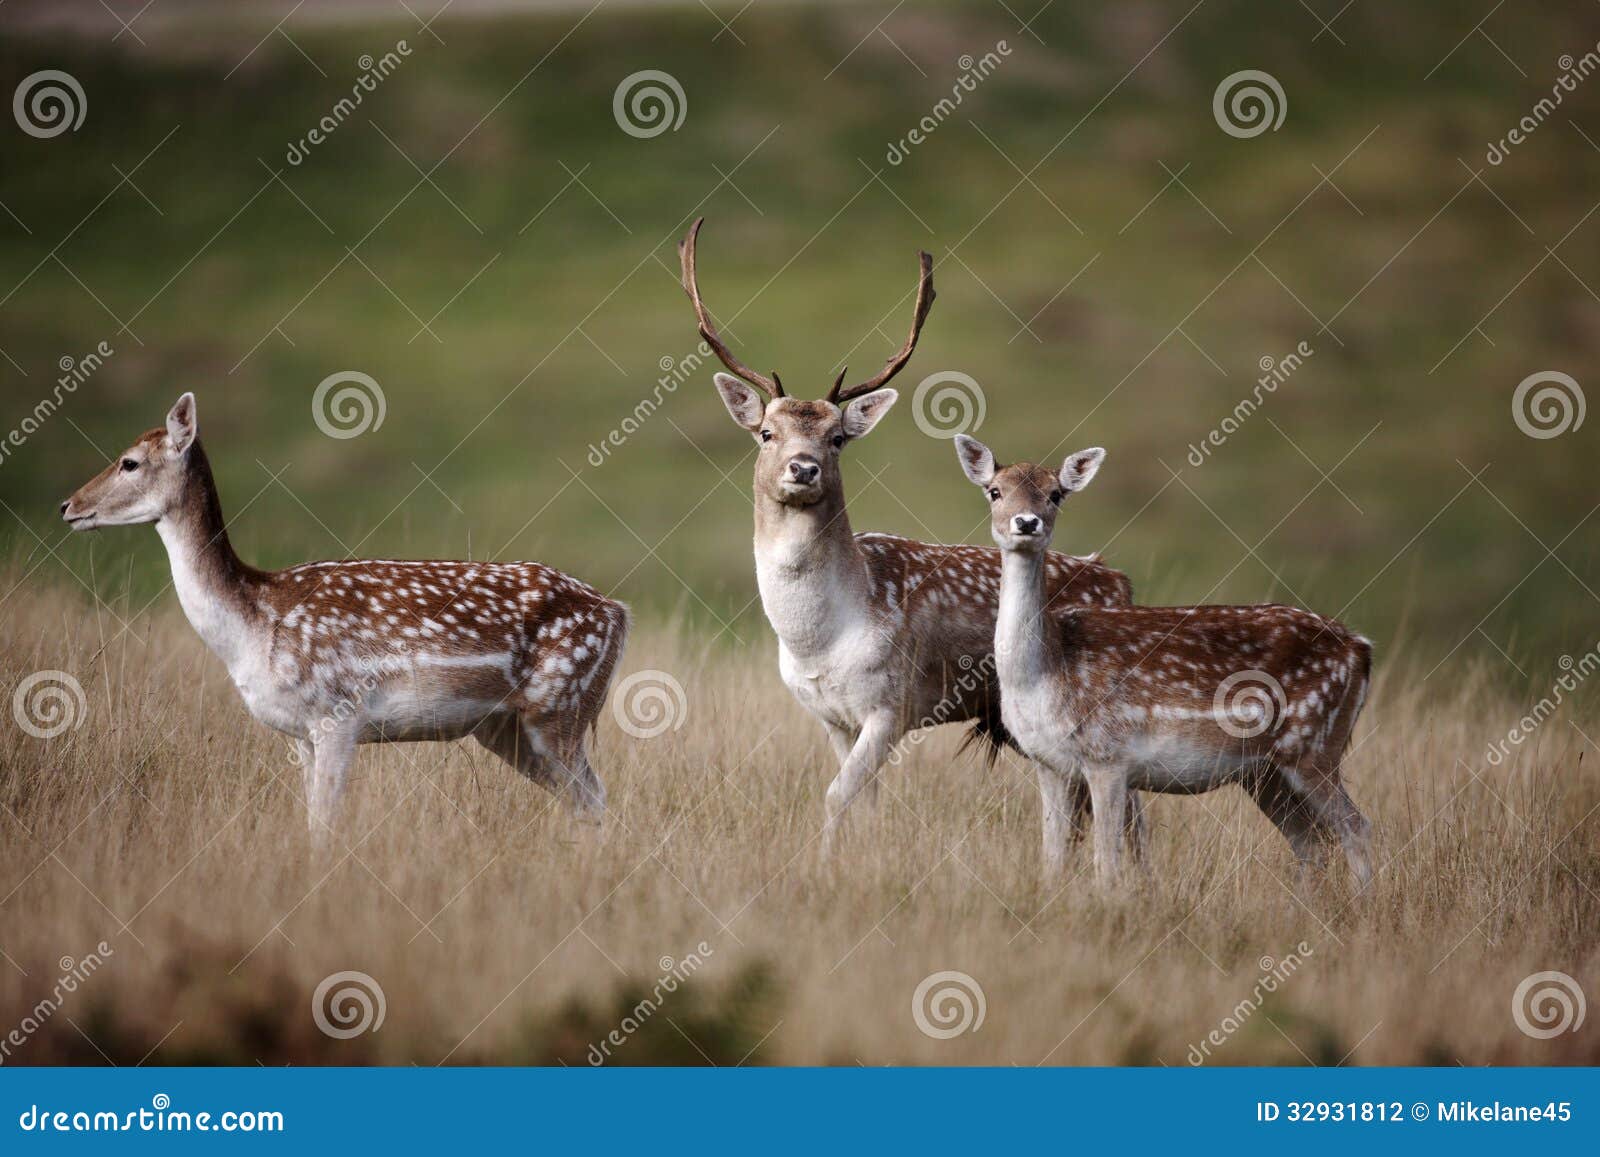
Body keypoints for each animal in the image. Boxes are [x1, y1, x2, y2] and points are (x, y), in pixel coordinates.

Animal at [62, 395, 627, 844]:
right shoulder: (300, 733)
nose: (68, 505)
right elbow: (312, 820)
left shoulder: (338, 712)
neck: (253, 625)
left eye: (129, 462)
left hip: (561, 705)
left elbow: (325, 824)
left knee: (595, 797)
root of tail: (619, 613)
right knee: (584, 802)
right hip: (505, 727)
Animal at [681, 219, 1145, 870]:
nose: (803, 467)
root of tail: (1121, 580)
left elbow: (836, 794)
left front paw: (823, 865)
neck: (818, 641)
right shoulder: (831, 717)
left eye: (837, 437)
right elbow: (863, 800)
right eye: (767, 432)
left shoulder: (892, 704)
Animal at [947, 435, 1376, 889]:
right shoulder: (1049, 763)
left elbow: (1107, 862)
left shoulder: (1108, 754)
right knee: (1309, 841)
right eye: (995, 491)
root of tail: (1362, 649)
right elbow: (1053, 858)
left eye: (1056, 494)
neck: (1045, 674)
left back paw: (1363, 901)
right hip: (1265, 770)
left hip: (1315, 744)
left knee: (1355, 827)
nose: (1027, 523)